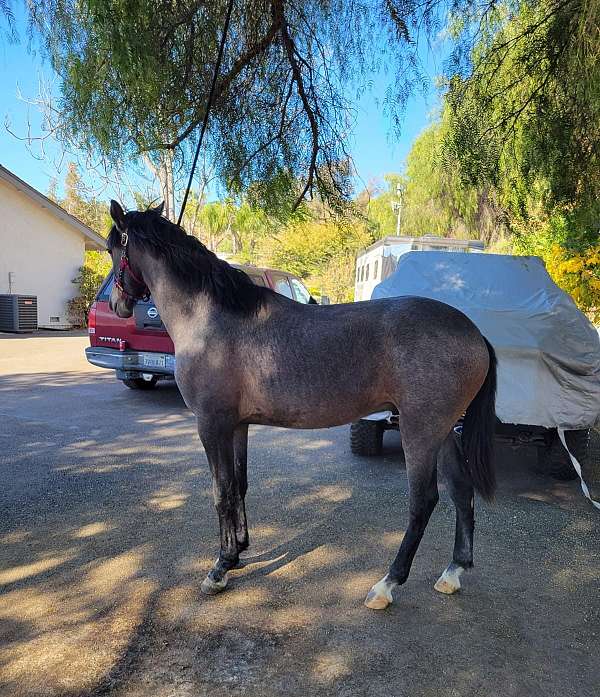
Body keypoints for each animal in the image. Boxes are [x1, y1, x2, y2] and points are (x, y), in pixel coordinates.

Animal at [106, 201, 496, 608]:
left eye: (111, 248)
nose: (117, 304)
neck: (211, 318)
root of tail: (474, 333)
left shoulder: (211, 425)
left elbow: (221, 492)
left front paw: (219, 568)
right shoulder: (238, 425)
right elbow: (239, 486)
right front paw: (238, 551)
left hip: (419, 431)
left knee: (423, 502)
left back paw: (387, 584)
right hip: (444, 431)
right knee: (461, 490)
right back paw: (453, 572)